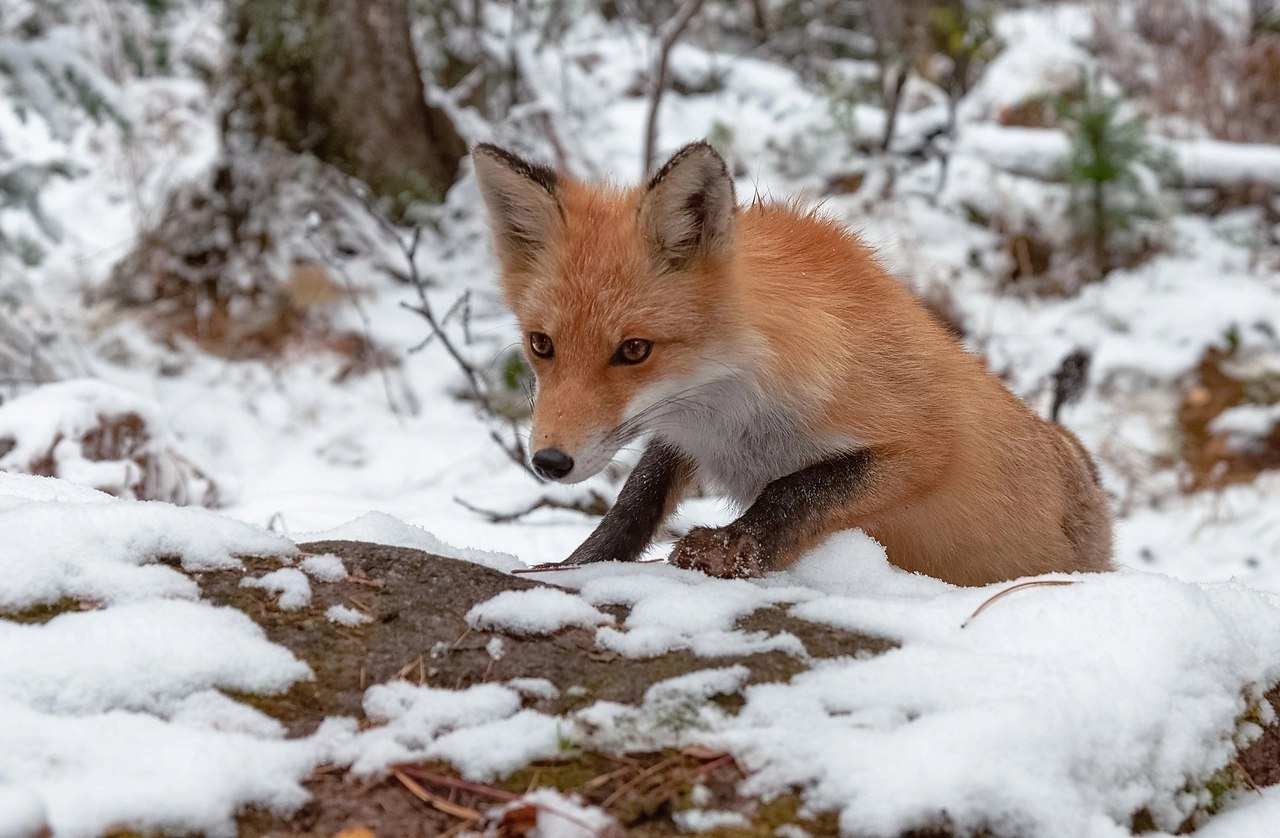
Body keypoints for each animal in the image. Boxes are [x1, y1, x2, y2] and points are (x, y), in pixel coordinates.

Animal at [471, 140, 1111, 585]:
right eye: (541, 345)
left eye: (633, 350)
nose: (549, 462)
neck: (733, 408)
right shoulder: (684, 432)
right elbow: (635, 501)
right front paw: (574, 563)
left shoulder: (923, 447)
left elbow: (795, 489)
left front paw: (730, 548)